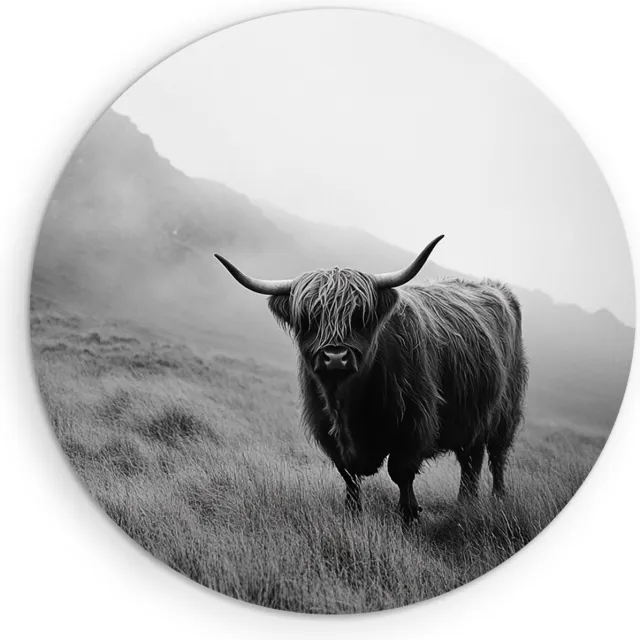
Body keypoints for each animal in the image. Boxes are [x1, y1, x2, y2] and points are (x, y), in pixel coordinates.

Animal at [215, 235, 528, 522]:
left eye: (359, 316)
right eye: (308, 319)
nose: (335, 357)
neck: (348, 404)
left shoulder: (414, 424)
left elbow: (400, 472)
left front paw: (410, 516)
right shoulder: (329, 432)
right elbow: (349, 476)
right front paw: (353, 514)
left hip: (505, 414)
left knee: (495, 458)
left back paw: (497, 500)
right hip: (474, 417)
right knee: (471, 459)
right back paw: (466, 503)